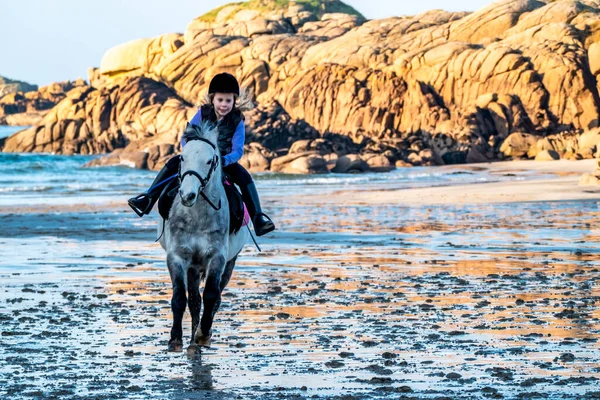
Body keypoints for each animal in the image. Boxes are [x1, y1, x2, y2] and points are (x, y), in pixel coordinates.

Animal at [158, 123, 250, 352]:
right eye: (182, 158)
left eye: (210, 160)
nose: (187, 195)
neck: (197, 216)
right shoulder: (177, 257)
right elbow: (179, 298)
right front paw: (175, 338)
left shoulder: (217, 257)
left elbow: (211, 296)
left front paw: (203, 334)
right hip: (192, 266)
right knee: (193, 301)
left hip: (229, 263)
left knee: (214, 298)